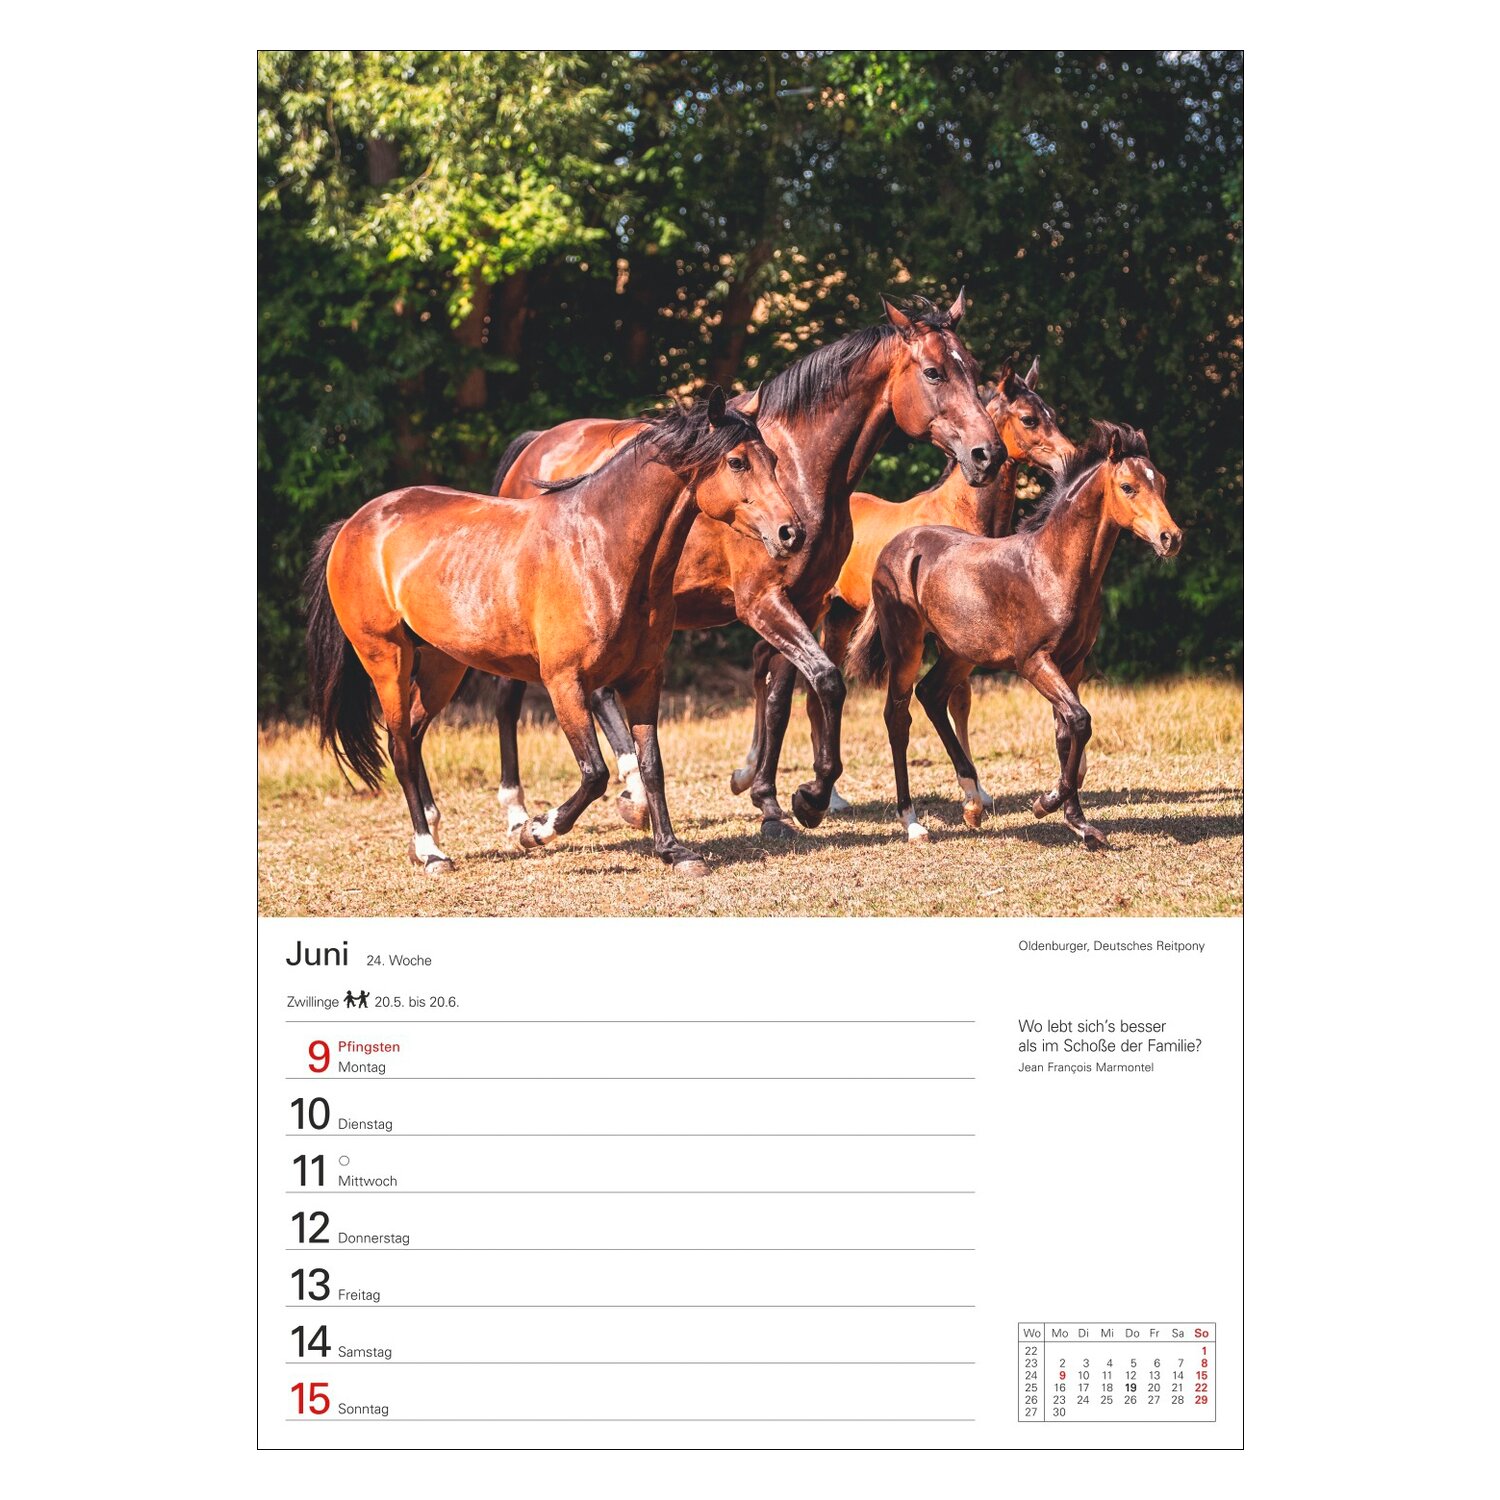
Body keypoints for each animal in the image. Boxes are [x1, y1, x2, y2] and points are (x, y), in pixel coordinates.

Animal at [304, 389, 802, 879]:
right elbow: (595, 773)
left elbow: (652, 765)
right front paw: (535, 831)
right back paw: (431, 852)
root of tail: (353, 524)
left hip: (442, 666)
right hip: (386, 659)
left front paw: (673, 851)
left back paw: (427, 833)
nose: (790, 533)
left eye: (773, 458)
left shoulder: (644, 679)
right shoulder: (565, 683)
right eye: (737, 462)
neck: (601, 547)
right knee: (401, 748)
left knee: (411, 733)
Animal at [487, 291, 1002, 842]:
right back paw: (524, 811)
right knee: (513, 697)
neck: (799, 465)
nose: (986, 454)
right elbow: (826, 681)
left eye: (973, 369)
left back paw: (632, 795)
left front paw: (771, 801)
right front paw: (810, 797)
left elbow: (780, 700)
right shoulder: (762, 602)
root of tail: (536, 445)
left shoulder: (805, 603)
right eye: (933, 372)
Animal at [750, 356, 1077, 815]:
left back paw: (825, 793)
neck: (959, 512)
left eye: (1053, 415)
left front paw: (977, 790)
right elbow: (949, 697)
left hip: (840, 616)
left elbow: (960, 699)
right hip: (813, 610)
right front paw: (971, 791)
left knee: (810, 692)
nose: (1070, 458)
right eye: (1029, 418)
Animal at [843, 421, 1182, 849]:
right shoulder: (1034, 661)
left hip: (959, 653)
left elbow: (1067, 734)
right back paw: (913, 822)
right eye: (1128, 487)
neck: (1052, 568)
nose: (1171, 538)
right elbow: (1080, 721)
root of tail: (894, 546)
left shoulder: (1072, 664)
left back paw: (972, 802)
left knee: (932, 695)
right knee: (897, 716)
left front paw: (1079, 823)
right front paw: (1046, 804)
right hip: (907, 647)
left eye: (1163, 483)